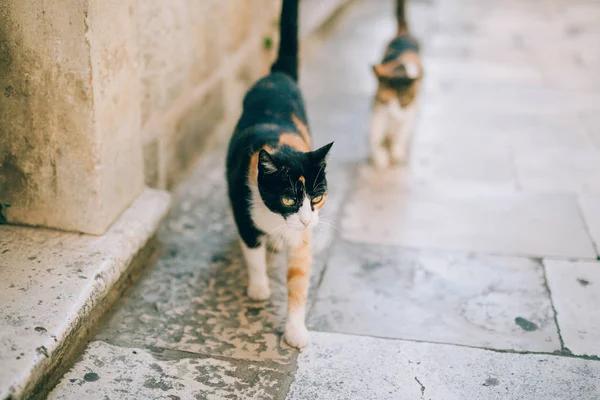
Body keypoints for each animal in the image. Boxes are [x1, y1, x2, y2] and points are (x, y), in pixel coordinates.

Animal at [227, 0, 336, 348]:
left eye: (318, 196)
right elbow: (252, 251)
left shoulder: (303, 239)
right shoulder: (242, 206)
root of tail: (277, 75)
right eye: (289, 199)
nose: (304, 219)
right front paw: (259, 288)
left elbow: (299, 278)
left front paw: (295, 330)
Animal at [370, 0, 422, 169]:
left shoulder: (409, 111)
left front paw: (396, 151)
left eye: (402, 101)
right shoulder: (379, 108)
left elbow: (402, 133)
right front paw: (379, 156)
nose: (393, 115)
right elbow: (375, 133)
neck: (400, 70)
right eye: (386, 100)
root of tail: (403, 33)